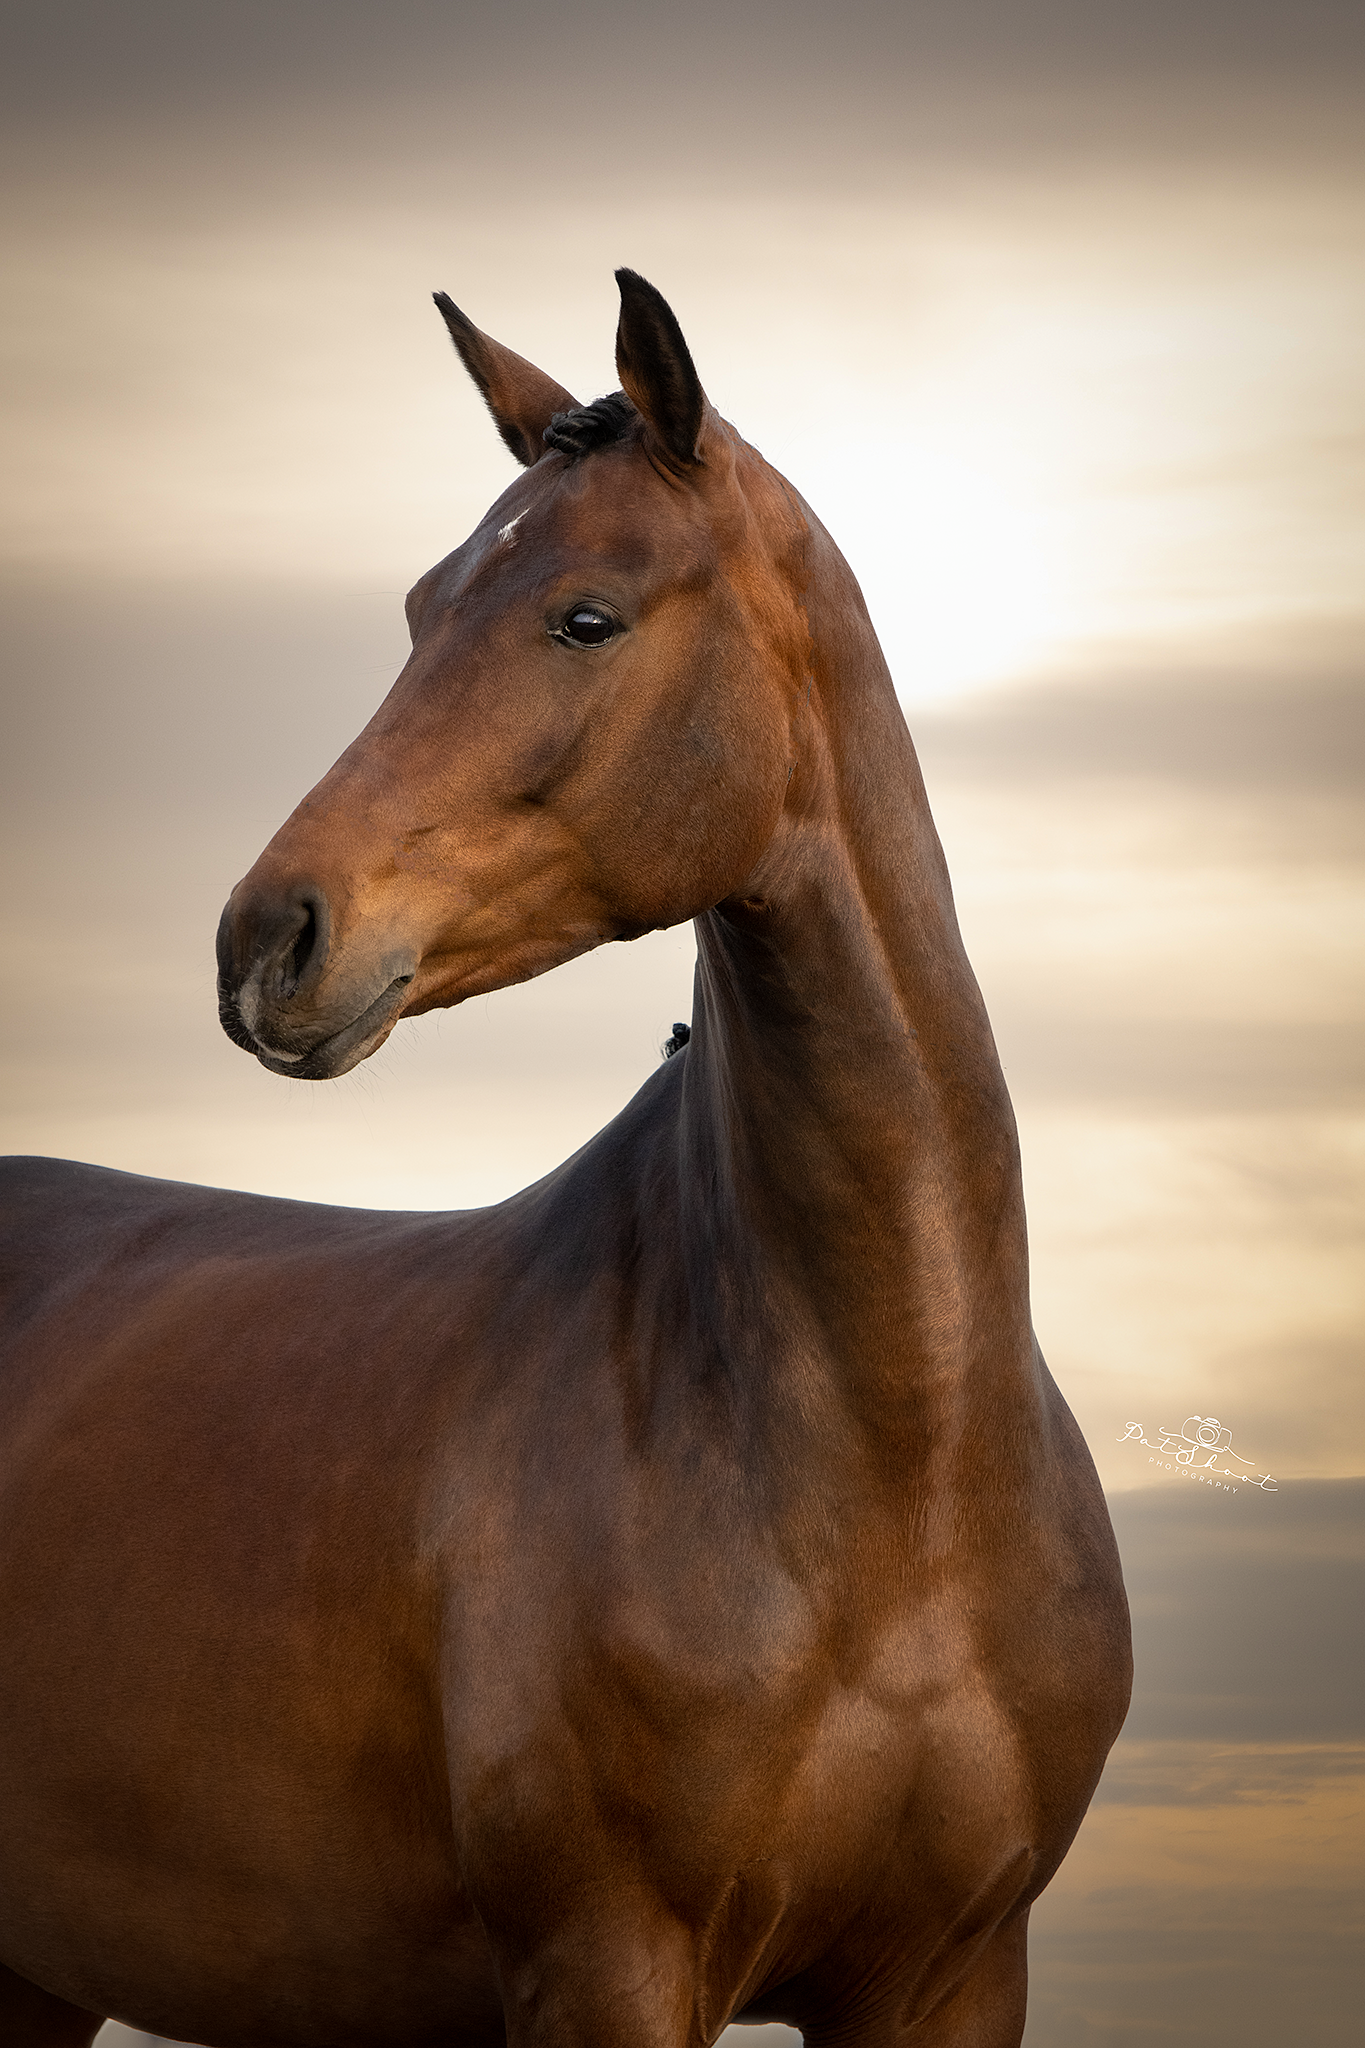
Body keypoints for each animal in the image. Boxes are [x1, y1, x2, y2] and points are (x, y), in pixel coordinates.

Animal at [0, 270, 1130, 2048]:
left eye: (584, 617)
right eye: (419, 607)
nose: (267, 941)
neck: (898, 1474)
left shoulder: (951, 1976)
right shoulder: (610, 1965)